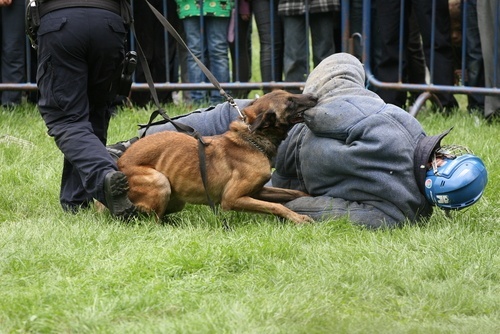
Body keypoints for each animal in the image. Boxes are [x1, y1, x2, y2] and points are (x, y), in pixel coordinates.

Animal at [118, 90, 316, 223]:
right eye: (290, 101)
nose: (314, 96)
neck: (252, 140)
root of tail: (120, 163)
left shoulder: (257, 191)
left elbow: (292, 193)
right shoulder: (232, 198)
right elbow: (277, 206)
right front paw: (298, 218)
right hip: (161, 182)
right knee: (152, 221)